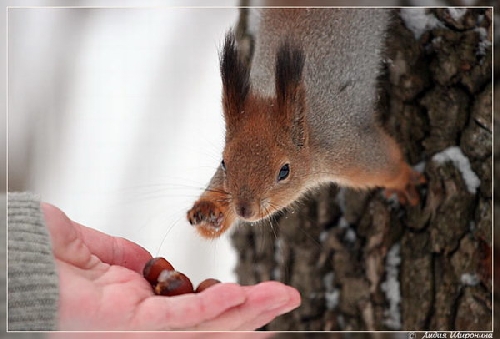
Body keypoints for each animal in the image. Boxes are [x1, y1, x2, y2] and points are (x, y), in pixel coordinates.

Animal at [186, 9, 424, 239]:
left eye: (284, 171)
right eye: (224, 162)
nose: (244, 210)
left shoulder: (349, 149)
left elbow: (386, 165)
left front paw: (404, 181)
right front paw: (208, 212)